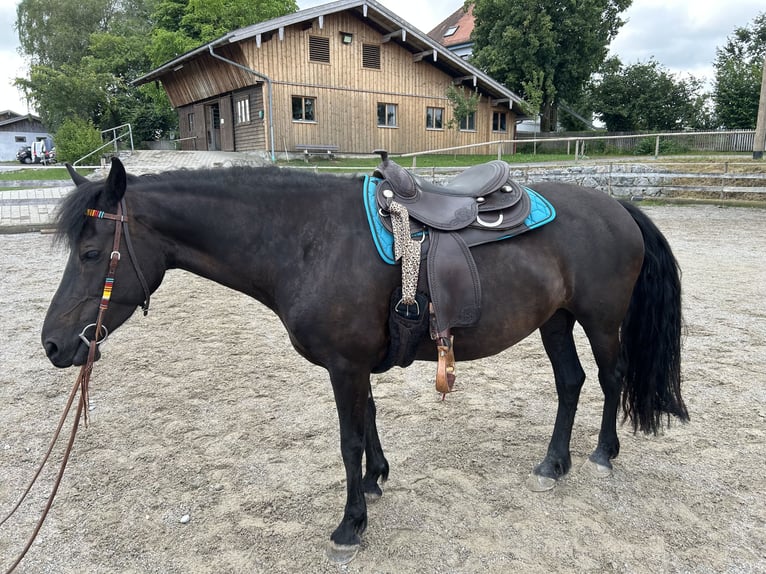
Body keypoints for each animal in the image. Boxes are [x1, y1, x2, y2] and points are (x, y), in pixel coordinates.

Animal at [42, 157, 688, 563]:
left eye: (92, 253)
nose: (52, 343)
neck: (306, 239)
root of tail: (617, 205)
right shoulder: (354, 366)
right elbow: (370, 421)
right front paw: (377, 481)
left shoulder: (344, 365)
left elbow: (348, 438)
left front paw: (350, 523)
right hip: (555, 320)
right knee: (571, 382)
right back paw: (555, 463)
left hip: (600, 321)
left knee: (610, 377)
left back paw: (603, 453)